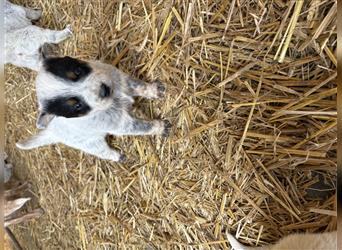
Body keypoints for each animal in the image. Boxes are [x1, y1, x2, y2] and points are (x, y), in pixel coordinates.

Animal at [16, 53, 171, 162]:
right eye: (77, 106)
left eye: (77, 71)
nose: (103, 90)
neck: (114, 97)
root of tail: (51, 132)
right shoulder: (121, 124)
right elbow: (143, 127)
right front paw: (161, 127)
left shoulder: (120, 79)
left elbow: (139, 86)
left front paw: (154, 90)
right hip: (90, 144)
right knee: (103, 152)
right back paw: (117, 157)